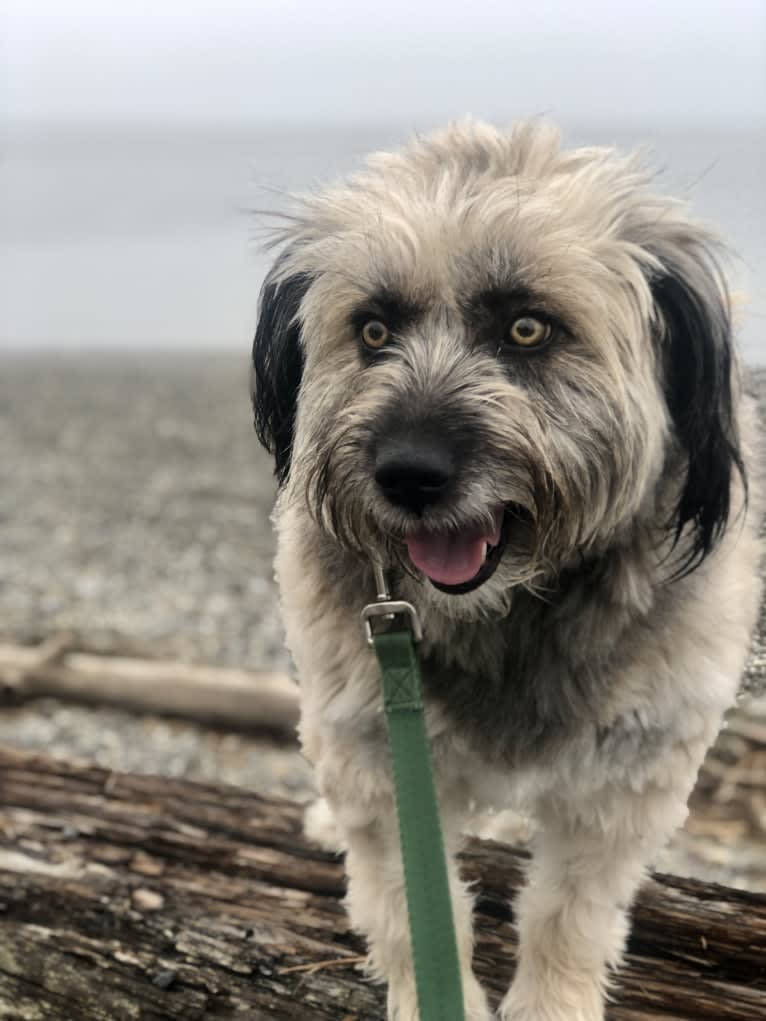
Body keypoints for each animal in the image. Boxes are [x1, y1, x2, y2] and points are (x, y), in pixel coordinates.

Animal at [250, 121, 763, 1021]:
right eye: (373, 330)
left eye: (528, 329)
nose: (408, 473)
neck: (510, 612)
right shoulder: (375, 749)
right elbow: (407, 900)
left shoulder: (626, 775)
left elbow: (570, 911)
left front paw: (553, 1001)